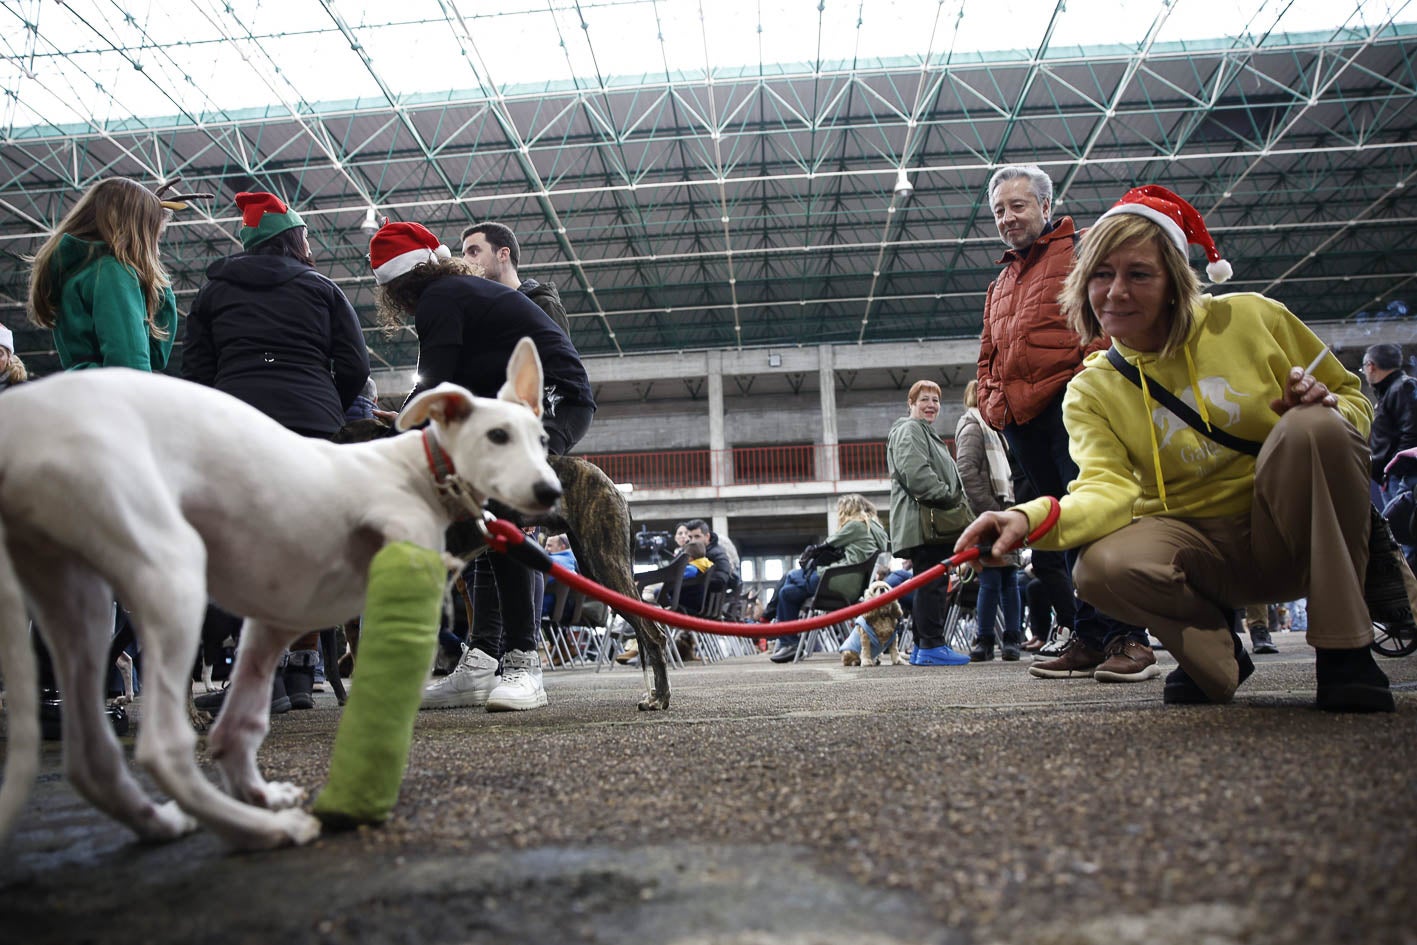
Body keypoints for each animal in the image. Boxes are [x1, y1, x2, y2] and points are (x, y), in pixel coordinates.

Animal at [0, 338, 563, 850]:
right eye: (496, 436)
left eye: (540, 438)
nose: (550, 493)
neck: (420, 469)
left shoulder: (277, 619)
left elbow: (241, 726)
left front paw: (260, 791)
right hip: (171, 574)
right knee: (161, 745)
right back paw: (261, 830)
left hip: (79, 599)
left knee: (91, 757)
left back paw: (163, 821)